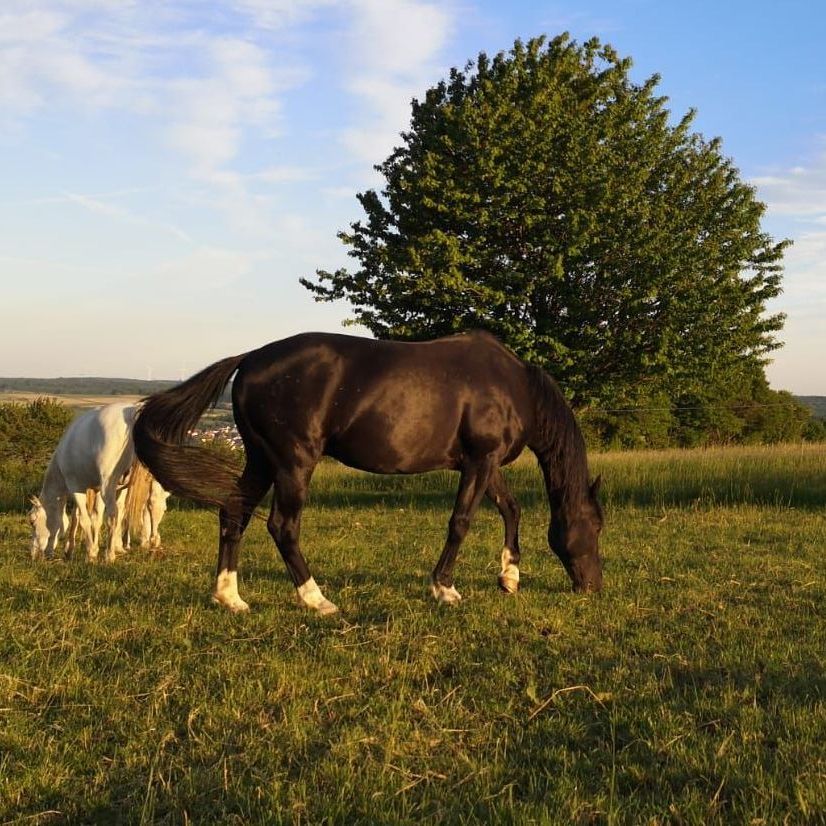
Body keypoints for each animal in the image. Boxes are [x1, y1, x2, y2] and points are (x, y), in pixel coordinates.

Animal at [29, 402, 168, 562]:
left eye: (32, 521)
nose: (33, 554)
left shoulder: (76, 487)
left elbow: (82, 518)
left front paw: (89, 552)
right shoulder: (100, 488)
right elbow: (96, 517)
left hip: (108, 483)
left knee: (113, 514)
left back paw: (109, 555)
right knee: (154, 505)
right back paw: (153, 544)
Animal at [133, 331, 603, 614]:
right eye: (597, 528)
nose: (593, 586)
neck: (513, 385)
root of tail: (249, 358)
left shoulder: (483, 463)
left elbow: (511, 509)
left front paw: (509, 577)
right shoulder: (480, 461)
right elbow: (461, 522)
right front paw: (444, 588)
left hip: (262, 460)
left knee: (235, 513)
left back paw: (230, 596)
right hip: (293, 462)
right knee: (282, 526)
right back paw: (316, 599)